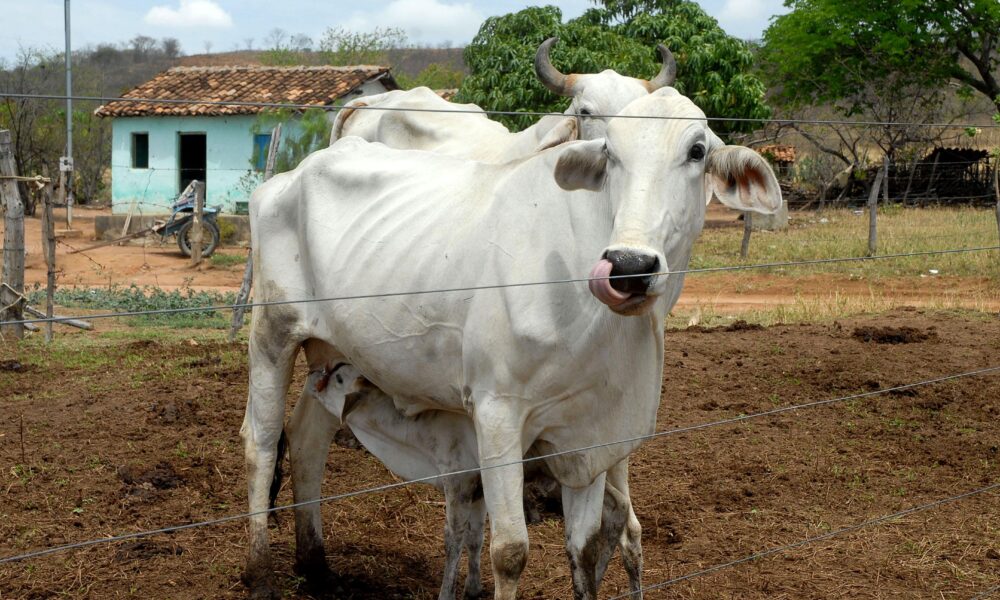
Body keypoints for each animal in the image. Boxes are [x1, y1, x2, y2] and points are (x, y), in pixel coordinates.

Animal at [244, 88, 780, 600]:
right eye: (610, 151)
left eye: (696, 150)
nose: (628, 267)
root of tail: (293, 174)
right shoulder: (496, 414)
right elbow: (509, 552)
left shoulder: (591, 437)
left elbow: (584, 548)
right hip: (272, 334)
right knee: (262, 444)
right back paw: (261, 575)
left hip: (333, 353)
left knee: (308, 439)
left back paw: (316, 567)